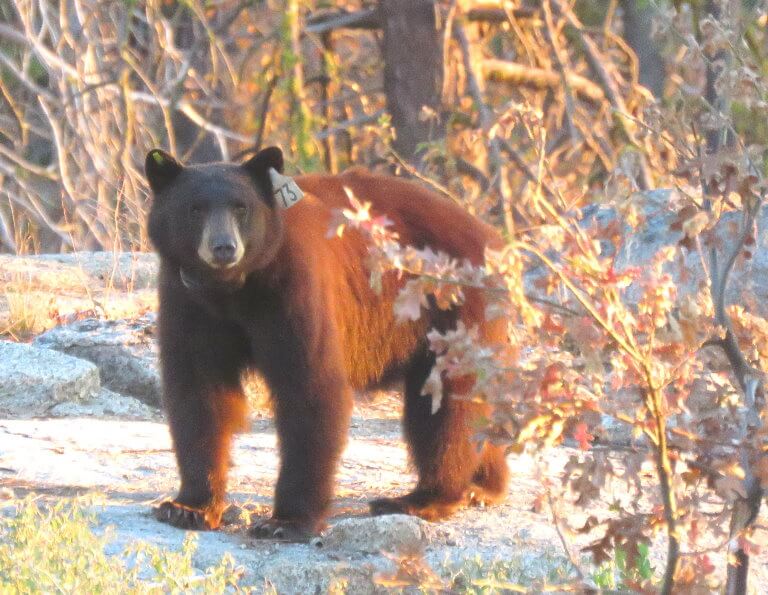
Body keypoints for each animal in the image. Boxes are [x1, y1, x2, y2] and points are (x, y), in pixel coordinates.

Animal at [144, 146, 509, 539]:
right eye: (194, 208)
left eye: (241, 207)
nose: (224, 248)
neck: (230, 290)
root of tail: (491, 237)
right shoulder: (187, 300)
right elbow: (197, 391)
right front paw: (189, 506)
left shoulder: (292, 287)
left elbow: (309, 385)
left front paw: (286, 521)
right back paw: (483, 486)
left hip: (452, 305)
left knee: (448, 405)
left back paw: (423, 498)